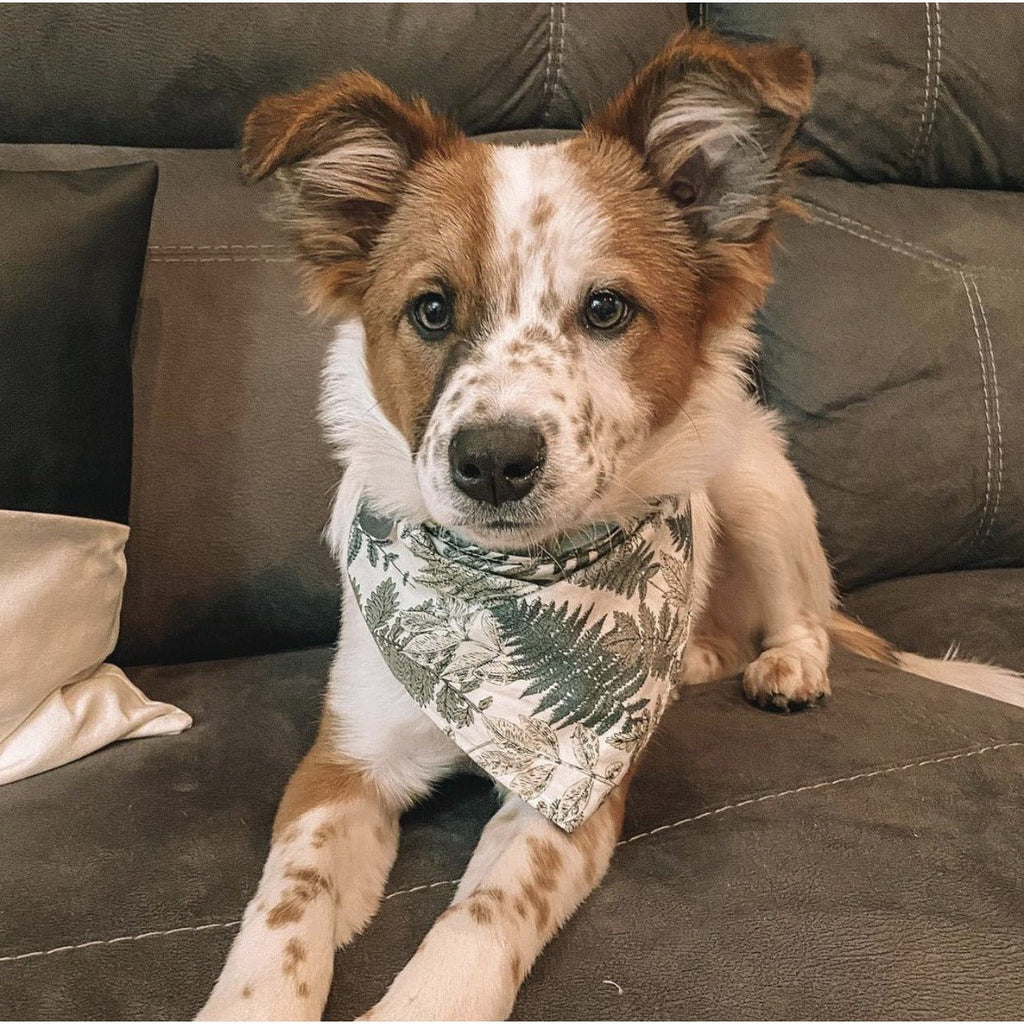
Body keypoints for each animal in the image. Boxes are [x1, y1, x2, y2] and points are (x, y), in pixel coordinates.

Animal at [195, 28, 1019, 1019]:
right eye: (431, 309)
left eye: (605, 309)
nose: (493, 461)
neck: (503, 594)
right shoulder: (339, 766)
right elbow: (284, 908)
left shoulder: (575, 794)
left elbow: (478, 920)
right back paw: (701, 654)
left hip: (753, 480)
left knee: (806, 617)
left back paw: (786, 666)